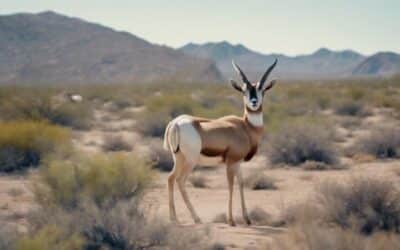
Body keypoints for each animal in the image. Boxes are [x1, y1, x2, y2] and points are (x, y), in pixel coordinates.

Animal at [162, 59, 278, 227]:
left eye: (262, 89)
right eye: (244, 90)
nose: (254, 102)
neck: (245, 127)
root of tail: (176, 123)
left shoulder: (238, 163)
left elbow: (241, 184)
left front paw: (247, 219)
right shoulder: (230, 162)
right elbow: (230, 187)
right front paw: (231, 220)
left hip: (178, 159)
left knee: (170, 178)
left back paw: (174, 218)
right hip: (190, 161)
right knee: (180, 180)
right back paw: (196, 218)